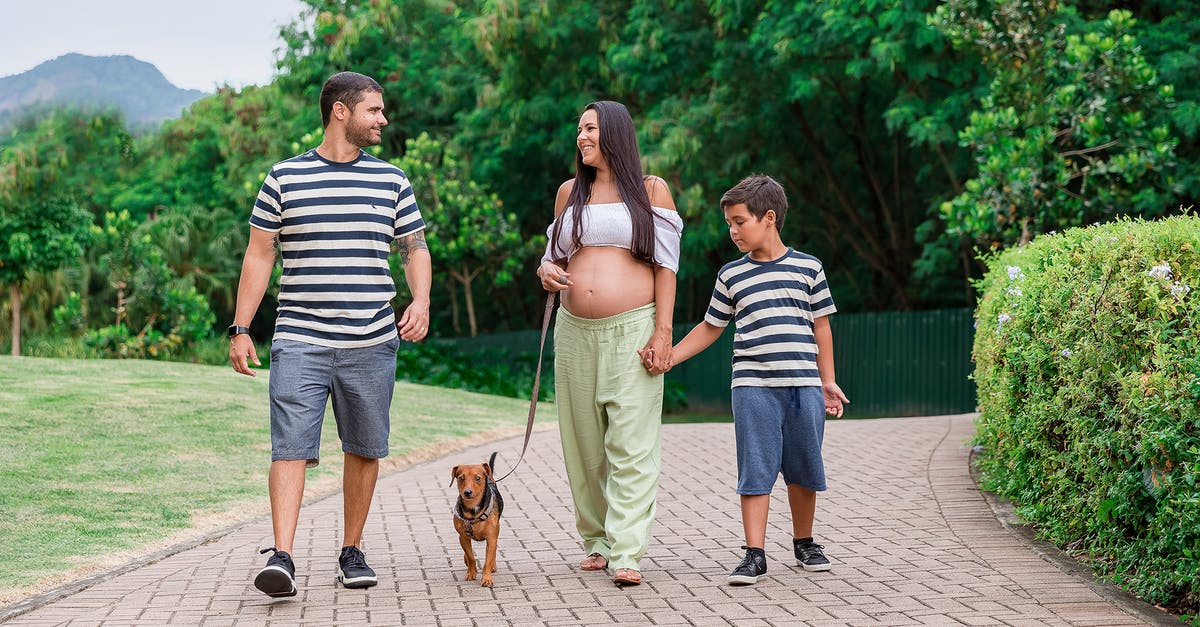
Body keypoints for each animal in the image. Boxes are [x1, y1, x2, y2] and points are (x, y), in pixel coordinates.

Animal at [451, 449, 504, 586]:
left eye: (478, 478)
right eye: (461, 478)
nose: (467, 492)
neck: (473, 509)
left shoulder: (491, 538)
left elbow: (487, 561)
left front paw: (487, 578)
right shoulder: (463, 537)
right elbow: (470, 557)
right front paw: (471, 573)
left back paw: (493, 566)